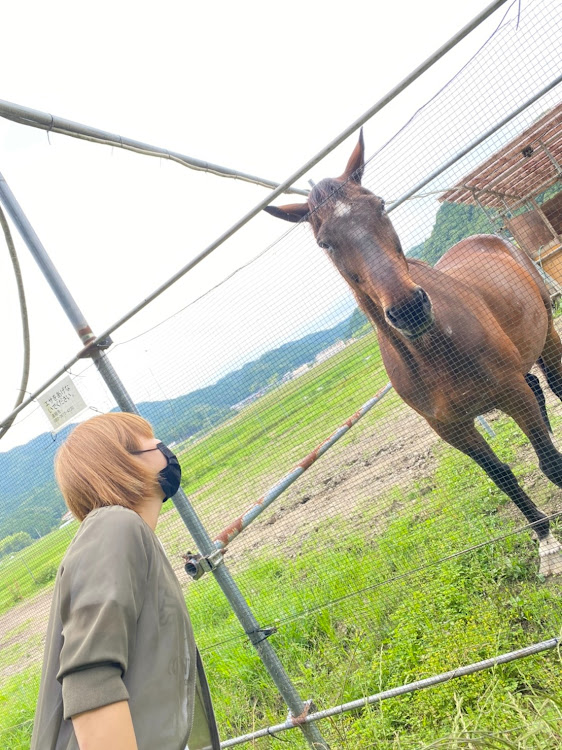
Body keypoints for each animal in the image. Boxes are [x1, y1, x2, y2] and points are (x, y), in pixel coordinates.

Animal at [264, 131, 560, 576]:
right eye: (324, 242)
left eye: (381, 205)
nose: (408, 309)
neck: (433, 351)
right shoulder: (451, 429)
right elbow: (503, 477)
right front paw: (545, 542)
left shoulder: (510, 393)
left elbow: (550, 463)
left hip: (547, 339)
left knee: (553, 387)